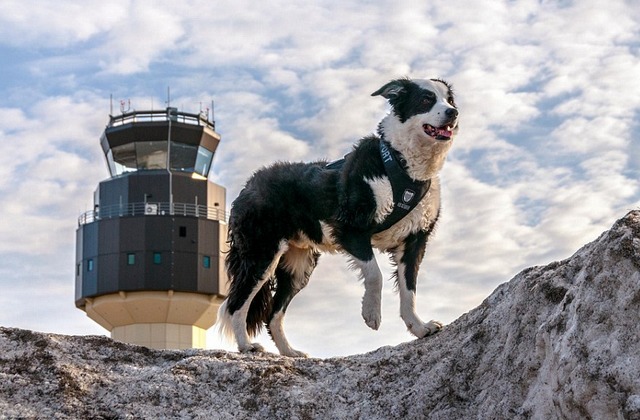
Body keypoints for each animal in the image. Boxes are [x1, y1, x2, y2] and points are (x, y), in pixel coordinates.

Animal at [218, 77, 458, 356]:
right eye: (426, 99)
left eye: (449, 100)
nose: (454, 113)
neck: (404, 167)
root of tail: (249, 185)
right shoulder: (351, 229)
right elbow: (374, 274)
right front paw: (371, 313)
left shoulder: (414, 241)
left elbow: (409, 291)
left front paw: (419, 328)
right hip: (261, 254)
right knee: (236, 304)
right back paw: (246, 345)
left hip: (298, 267)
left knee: (273, 314)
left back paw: (289, 352)